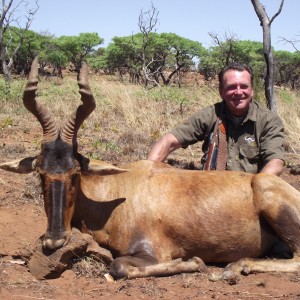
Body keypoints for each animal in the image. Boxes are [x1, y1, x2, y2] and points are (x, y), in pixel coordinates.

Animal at [1, 56, 300, 282]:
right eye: (40, 172)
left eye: (75, 172)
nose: (53, 241)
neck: (116, 194)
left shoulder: (152, 251)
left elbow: (119, 266)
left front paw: (194, 262)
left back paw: (236, 267)